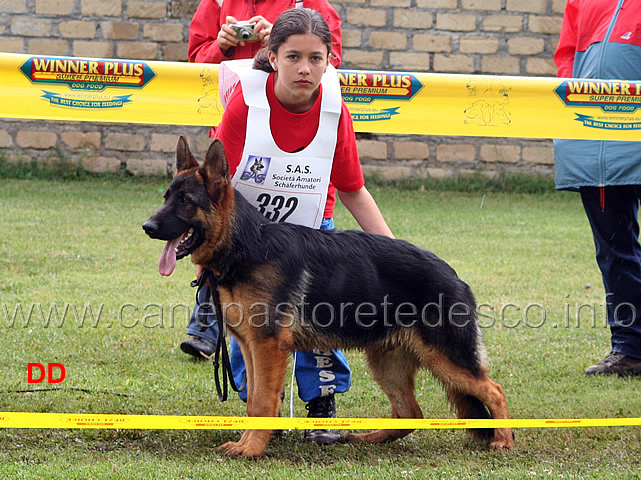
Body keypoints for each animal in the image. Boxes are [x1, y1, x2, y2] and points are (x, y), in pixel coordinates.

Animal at [142, 136, 512, 458]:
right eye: (166, 197)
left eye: (185, 202)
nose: (147, 227)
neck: (245, 245)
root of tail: (454, 275)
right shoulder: (250, 346)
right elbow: (255, 403)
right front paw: (250, 442)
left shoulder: (267, 347)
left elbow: (262, 401)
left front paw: (251, 449)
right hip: (387, 362)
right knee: (411, 413)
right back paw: (367, 439)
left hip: (446, 357)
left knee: (494, 390)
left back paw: (504, 440)